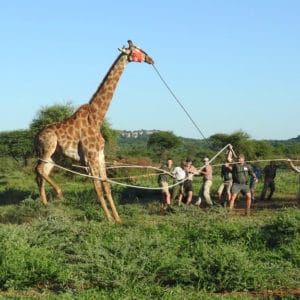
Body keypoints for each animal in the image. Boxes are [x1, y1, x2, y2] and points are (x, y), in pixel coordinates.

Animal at [35, 40, 155, 223]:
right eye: (137, 50)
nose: (151, 59)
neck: (97, 116)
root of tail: (35, 137)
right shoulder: (89, 155)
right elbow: (97, 186)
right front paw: (109, 220)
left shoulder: (100, 154)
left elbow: (106, 185)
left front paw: (118, 219)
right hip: (48, 147)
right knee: (39, 170)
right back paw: (59, 194)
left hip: (54, 155)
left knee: (41, 174)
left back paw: (46, 207)